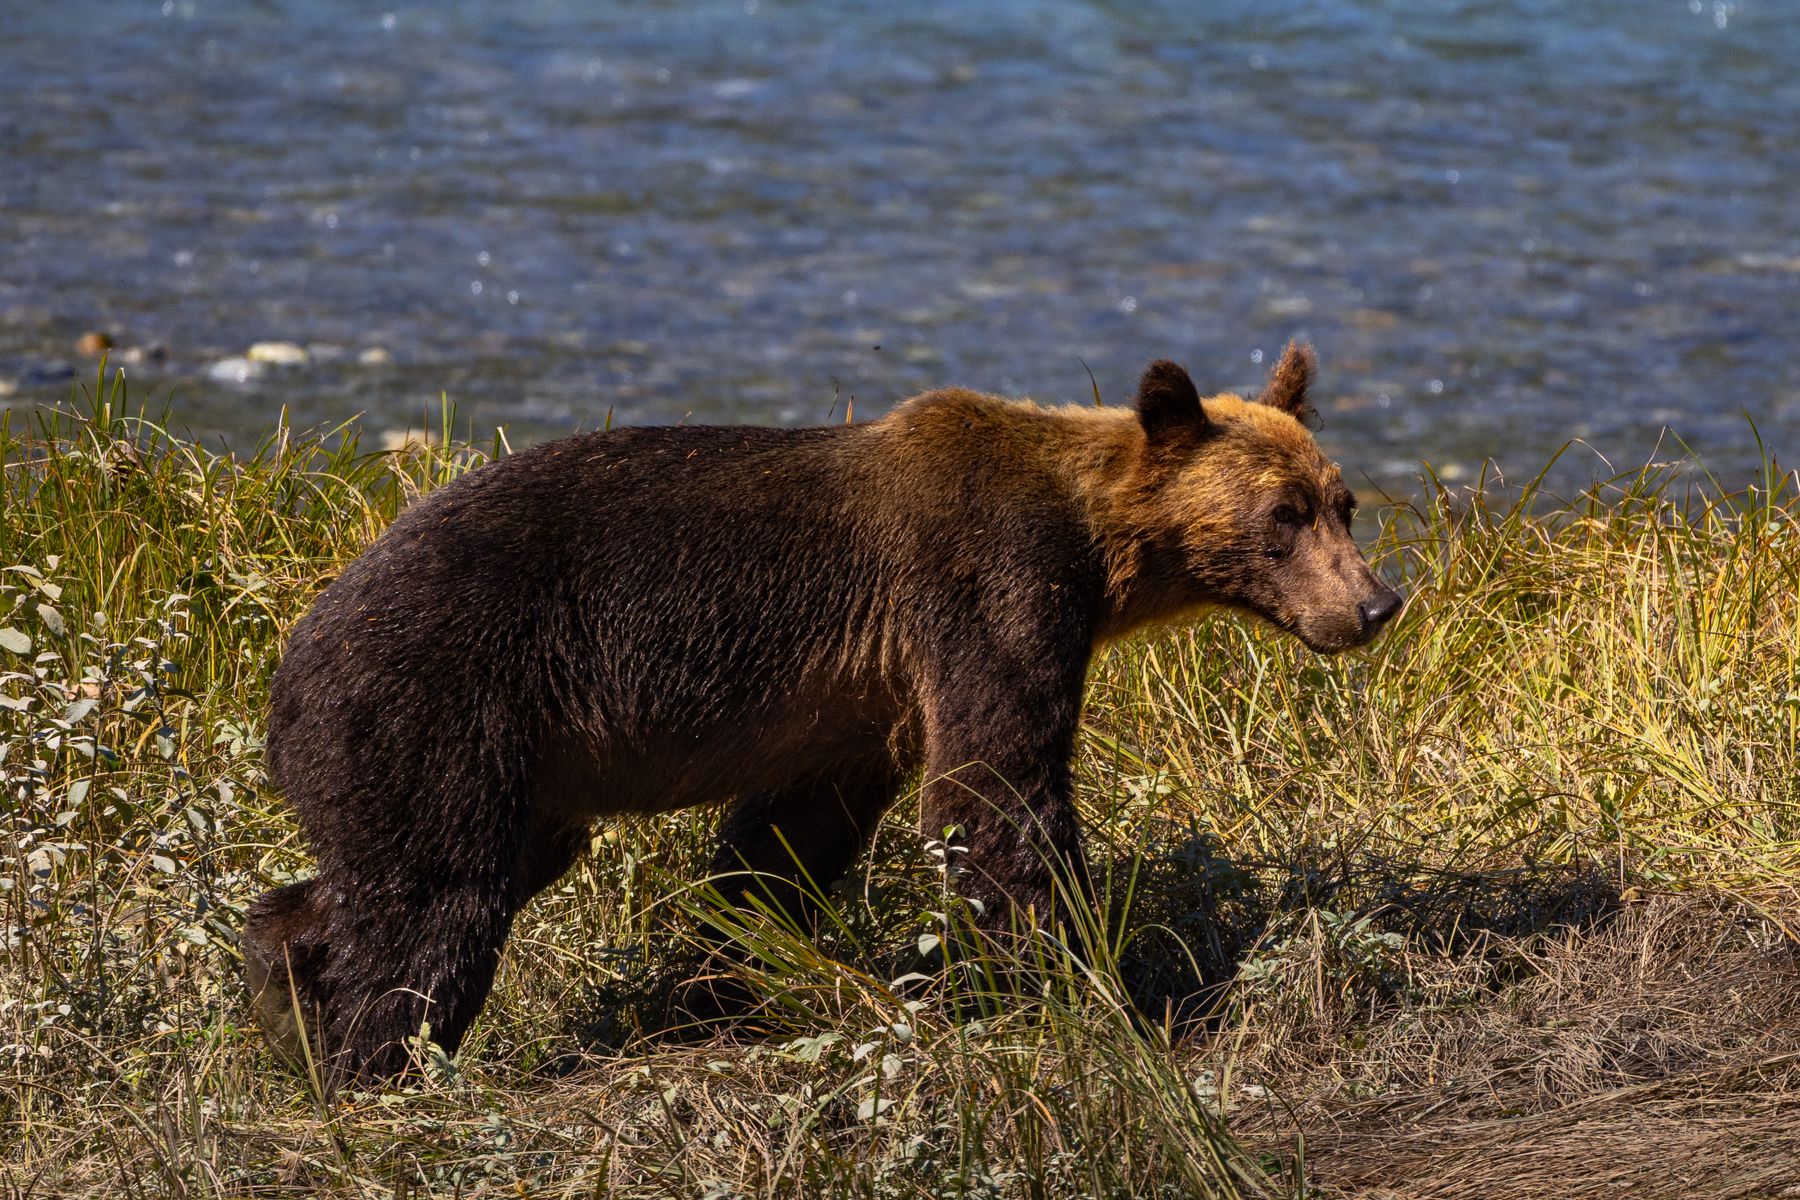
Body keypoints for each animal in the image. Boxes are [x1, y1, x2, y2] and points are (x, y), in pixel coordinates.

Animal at [244, 343, 1402, 1081]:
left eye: (1344, 503)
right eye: (1285, 516)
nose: (1374, 605)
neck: (1096, 545)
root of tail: (289, 661)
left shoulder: (857, 701)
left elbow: (789, 837)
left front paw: (732, 969)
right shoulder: (987, 586)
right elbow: (994, 792)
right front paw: (1085, 985)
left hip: (522, 770)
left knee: (406, 875)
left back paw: (286, 988)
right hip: (439, 701)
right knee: (436, 898)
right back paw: (372, 1058)